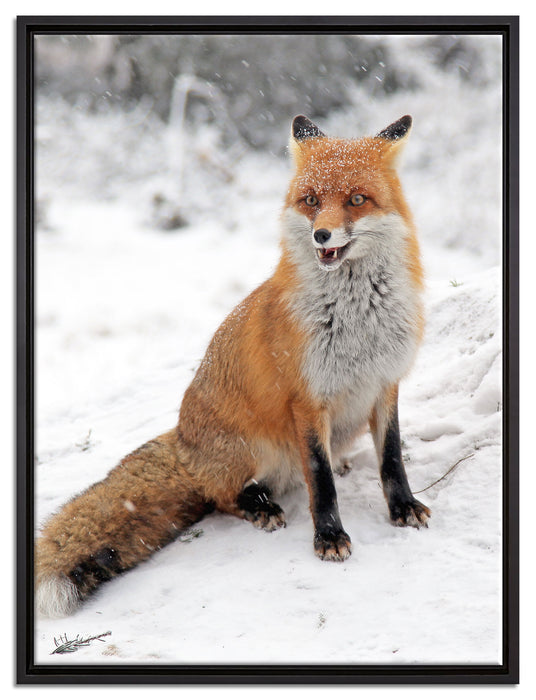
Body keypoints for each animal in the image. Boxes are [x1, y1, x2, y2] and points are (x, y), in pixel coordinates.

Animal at [35, 114, 431, 618]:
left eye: (356, 200)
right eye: (311, 201)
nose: (321, 235)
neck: (357, 321)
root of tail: (182, 440)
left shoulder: (385, 383)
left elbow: (392, 459)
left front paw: (403, 507)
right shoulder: (307, 401)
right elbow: (320, 480)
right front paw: (329, 537)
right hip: (253, 449)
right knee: (221, 496)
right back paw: (257, 505)